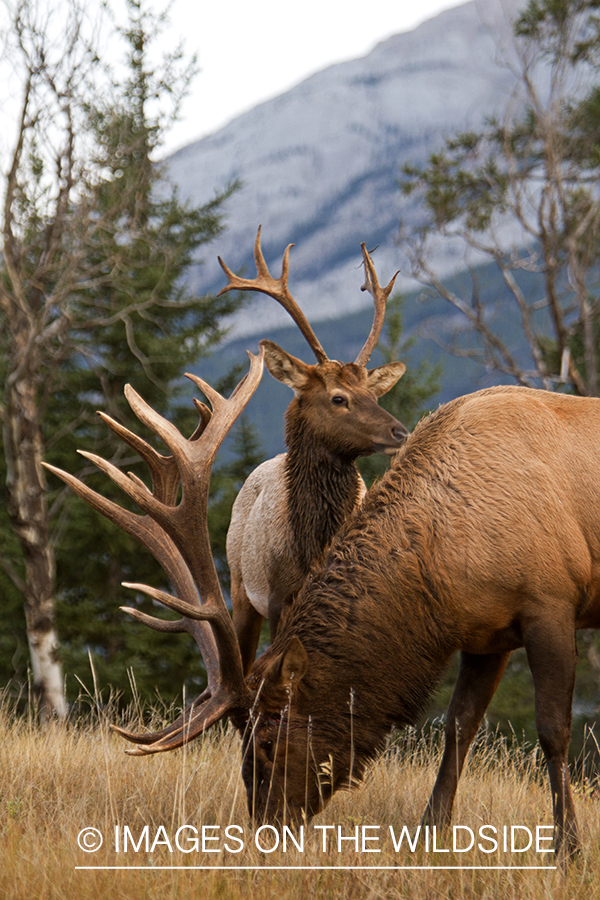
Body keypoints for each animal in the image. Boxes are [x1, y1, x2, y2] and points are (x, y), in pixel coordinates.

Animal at [44, 356, 600, 860]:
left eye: (267, 741)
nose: (265, 830)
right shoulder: (486, 632)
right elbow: (458, 728)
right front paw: (429, 837)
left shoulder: (549, 602)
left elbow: (553, 730)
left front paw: (567, 849)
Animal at [217, 229, 408, 672]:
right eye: (339, 398)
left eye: (373, 393)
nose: (400, 431)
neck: (311, 548)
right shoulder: (277, 597)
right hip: (239, 584)